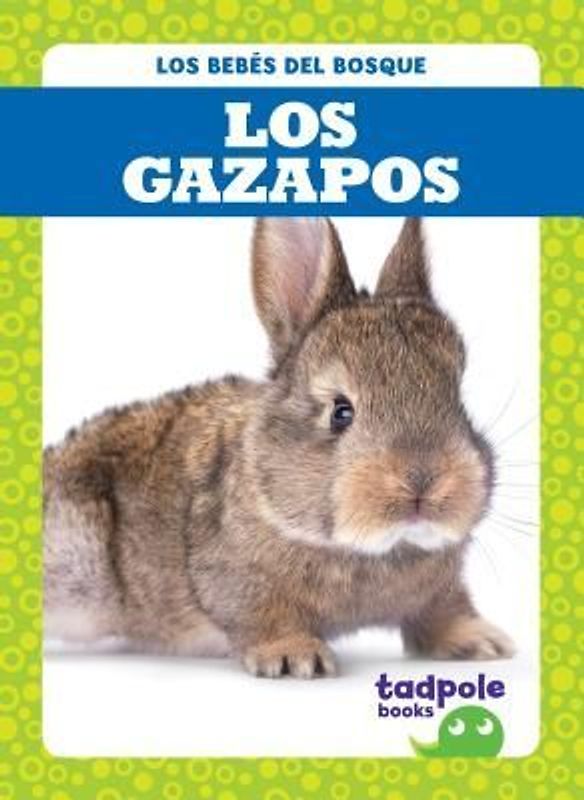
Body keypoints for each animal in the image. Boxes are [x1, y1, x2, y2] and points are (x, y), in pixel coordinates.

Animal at [43, 217, 514, 678]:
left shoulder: (439, 590)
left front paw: (481, 641)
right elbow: (265, 618)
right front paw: (295, 657)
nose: (423, 481)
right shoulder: (243, 585)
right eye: (340, 412)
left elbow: (442, 610)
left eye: (457, 397)